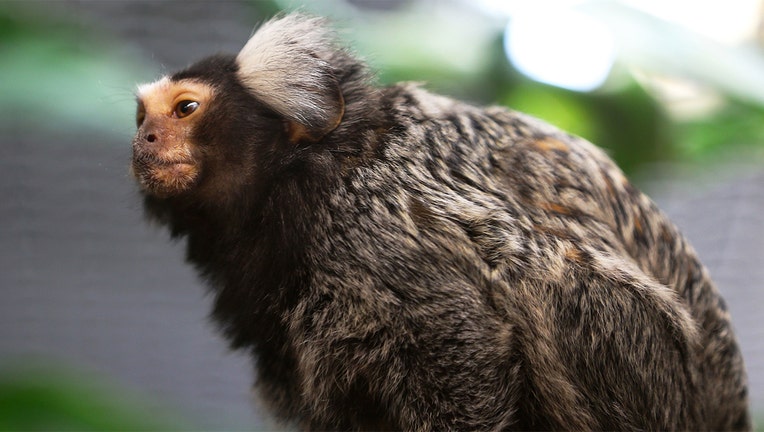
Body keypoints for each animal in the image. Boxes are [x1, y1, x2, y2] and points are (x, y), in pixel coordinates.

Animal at [133, 13, 752, 432]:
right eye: (142, 117)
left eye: (186, 109)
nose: (145, 139)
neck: (314, 171)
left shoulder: (372, 231)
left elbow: (461, 342)